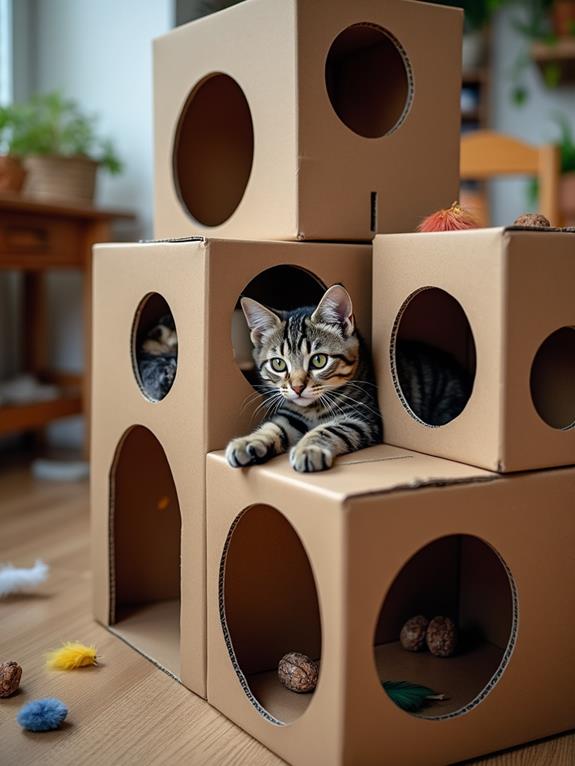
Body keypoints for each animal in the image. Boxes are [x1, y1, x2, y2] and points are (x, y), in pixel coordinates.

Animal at [227, 284, 384, 472]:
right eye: (278, 364)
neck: (312, 409)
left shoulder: (362, 416)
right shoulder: (290, 414)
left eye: (319, 360)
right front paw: (248, 441)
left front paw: (308, 449)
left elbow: (328, 429)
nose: (297, 388)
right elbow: (273, 426)